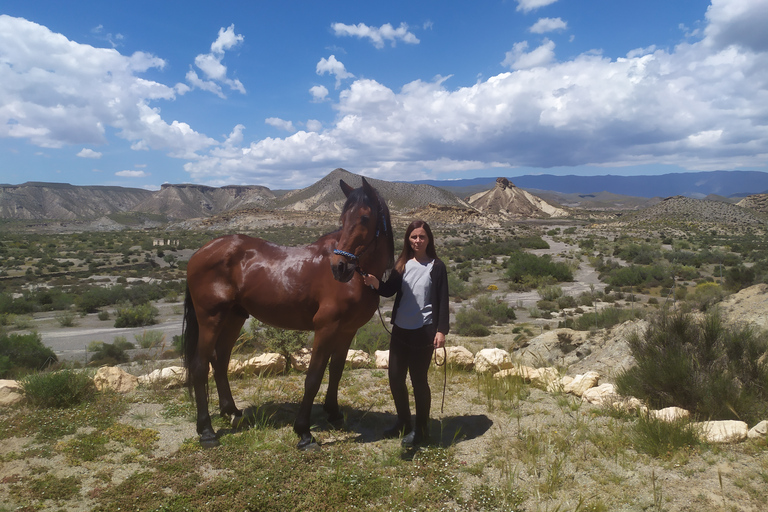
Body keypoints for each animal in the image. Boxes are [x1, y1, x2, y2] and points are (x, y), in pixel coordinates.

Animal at [183, 177, 392, 448]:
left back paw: (232, 412)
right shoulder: (326, 328)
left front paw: (334, 413)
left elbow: (336, 371)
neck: (359, 277)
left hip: (233, 318)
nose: (339, 267)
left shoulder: (347, 330)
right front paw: (304, 432)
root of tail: (200, 252)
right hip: (211, 318)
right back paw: (206, 431)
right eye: (343, 219)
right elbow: (313, 377)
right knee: (200, 366)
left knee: (220, 361)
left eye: (365, 218)